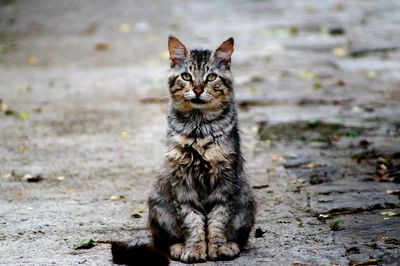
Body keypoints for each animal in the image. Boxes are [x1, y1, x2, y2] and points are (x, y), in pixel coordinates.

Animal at [112, 36, 256, 264]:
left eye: (211, 77)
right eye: (186, 76)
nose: (197, 89)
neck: (198, 128)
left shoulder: (224, 179)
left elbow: (217, 220)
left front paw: (217, 248)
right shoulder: (182, 180)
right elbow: (192, 221)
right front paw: (195, 249)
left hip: (246, 200)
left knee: (240, 238)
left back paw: (231, 245)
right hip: (159, 204)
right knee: (164, 242)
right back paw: (178, 247)